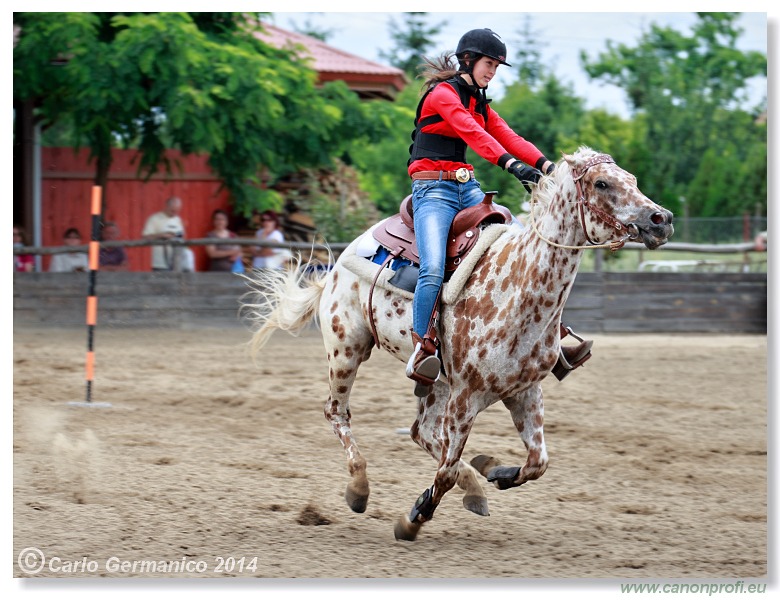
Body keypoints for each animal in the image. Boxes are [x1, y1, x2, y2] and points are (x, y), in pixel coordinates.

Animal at [241, 146, 672, 544]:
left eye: (632, 179)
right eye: (601, 183)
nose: (661, 219)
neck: (519, 288)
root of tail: (337, 264)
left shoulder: (525, 392)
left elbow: (537, 462)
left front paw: (495, 471)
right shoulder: (466, 397)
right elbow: (446, 471)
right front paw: (413, 517)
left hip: (435, 381)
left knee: (421, 432)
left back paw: (476, 485)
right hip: (347, 348)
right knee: (338, 413)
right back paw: (359, 488)